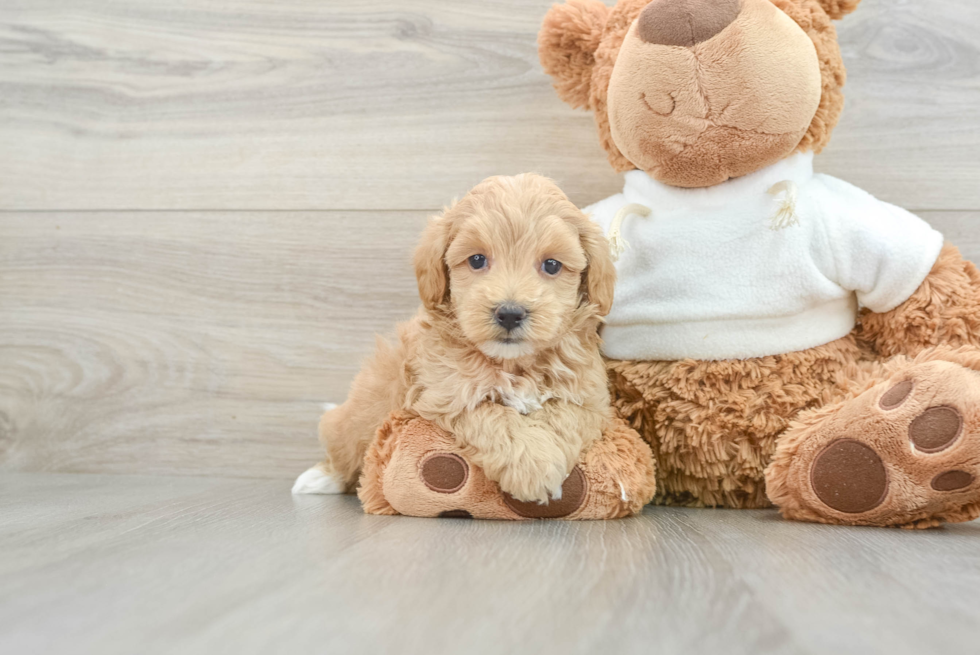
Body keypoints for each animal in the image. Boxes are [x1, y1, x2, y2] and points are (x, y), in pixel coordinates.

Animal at [292, 173, 612, 502]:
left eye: (551, 265)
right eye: (477, 260)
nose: (510, 313)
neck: (513, 365)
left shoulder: (590, 399)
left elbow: (564, 415)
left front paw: (541, 466)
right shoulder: (448, 393)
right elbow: (494, 416)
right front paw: (532, 468)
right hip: (361, 413)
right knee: (344, 447)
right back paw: (319, 478)